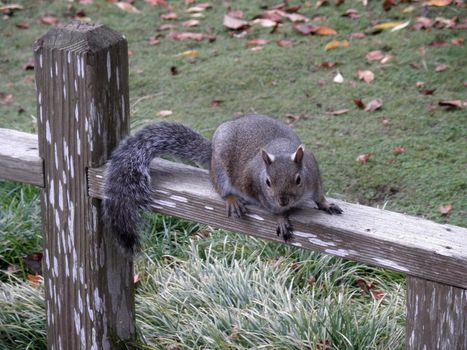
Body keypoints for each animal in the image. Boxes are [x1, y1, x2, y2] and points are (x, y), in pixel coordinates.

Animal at [104, 115, 342, 254]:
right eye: (267, 182)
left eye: (298, 179)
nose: (283, 200)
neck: (281, 148)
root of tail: (211, 154)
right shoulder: (255, 188)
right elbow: (271, 209)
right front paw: (282, 217)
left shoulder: (314, 176)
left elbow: (319, 196)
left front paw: (326, 205)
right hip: (220, 172)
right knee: (221, 188)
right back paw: (232, 199)